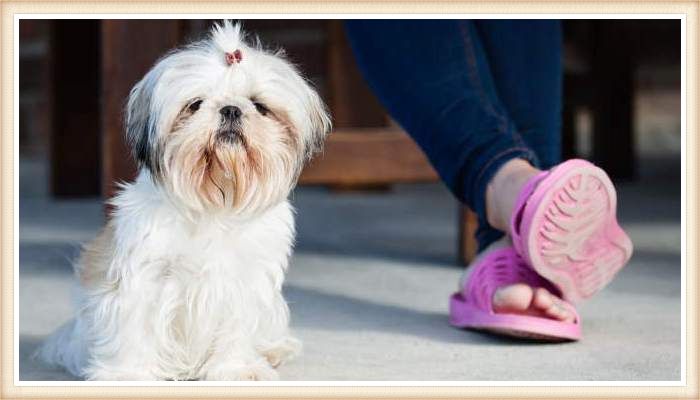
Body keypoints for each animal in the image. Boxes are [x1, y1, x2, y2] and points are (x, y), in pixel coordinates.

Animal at [37, 21, 330, 382]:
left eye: (259, 105)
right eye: (195, 104)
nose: (231, 109)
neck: (215, 201)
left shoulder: (243, 282)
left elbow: (236, 328)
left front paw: (238, 368)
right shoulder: (143, 275)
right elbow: (134, 326)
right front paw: (128, 374)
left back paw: (274, 349)